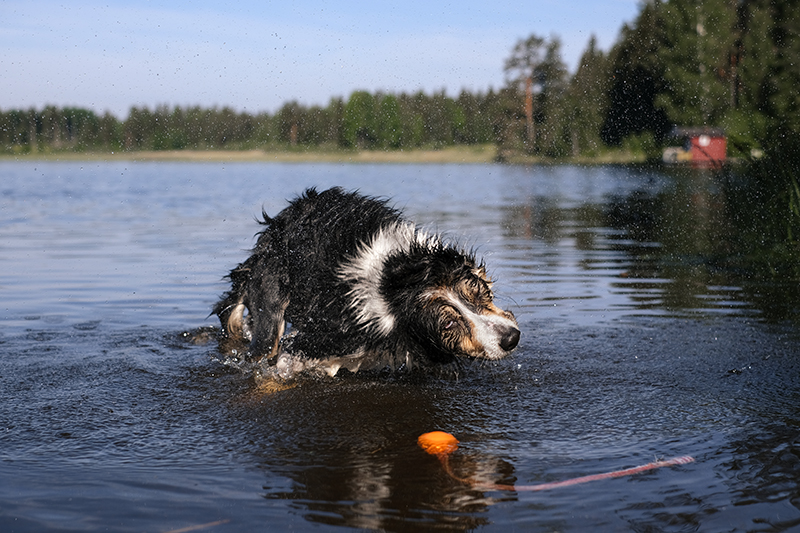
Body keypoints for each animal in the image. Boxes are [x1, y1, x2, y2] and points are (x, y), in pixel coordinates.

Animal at [216, 185, 520, 376]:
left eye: (477, 291)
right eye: (447, 323)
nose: (511, 338)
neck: (391, 280)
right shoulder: (324, 339)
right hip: (269, 309)